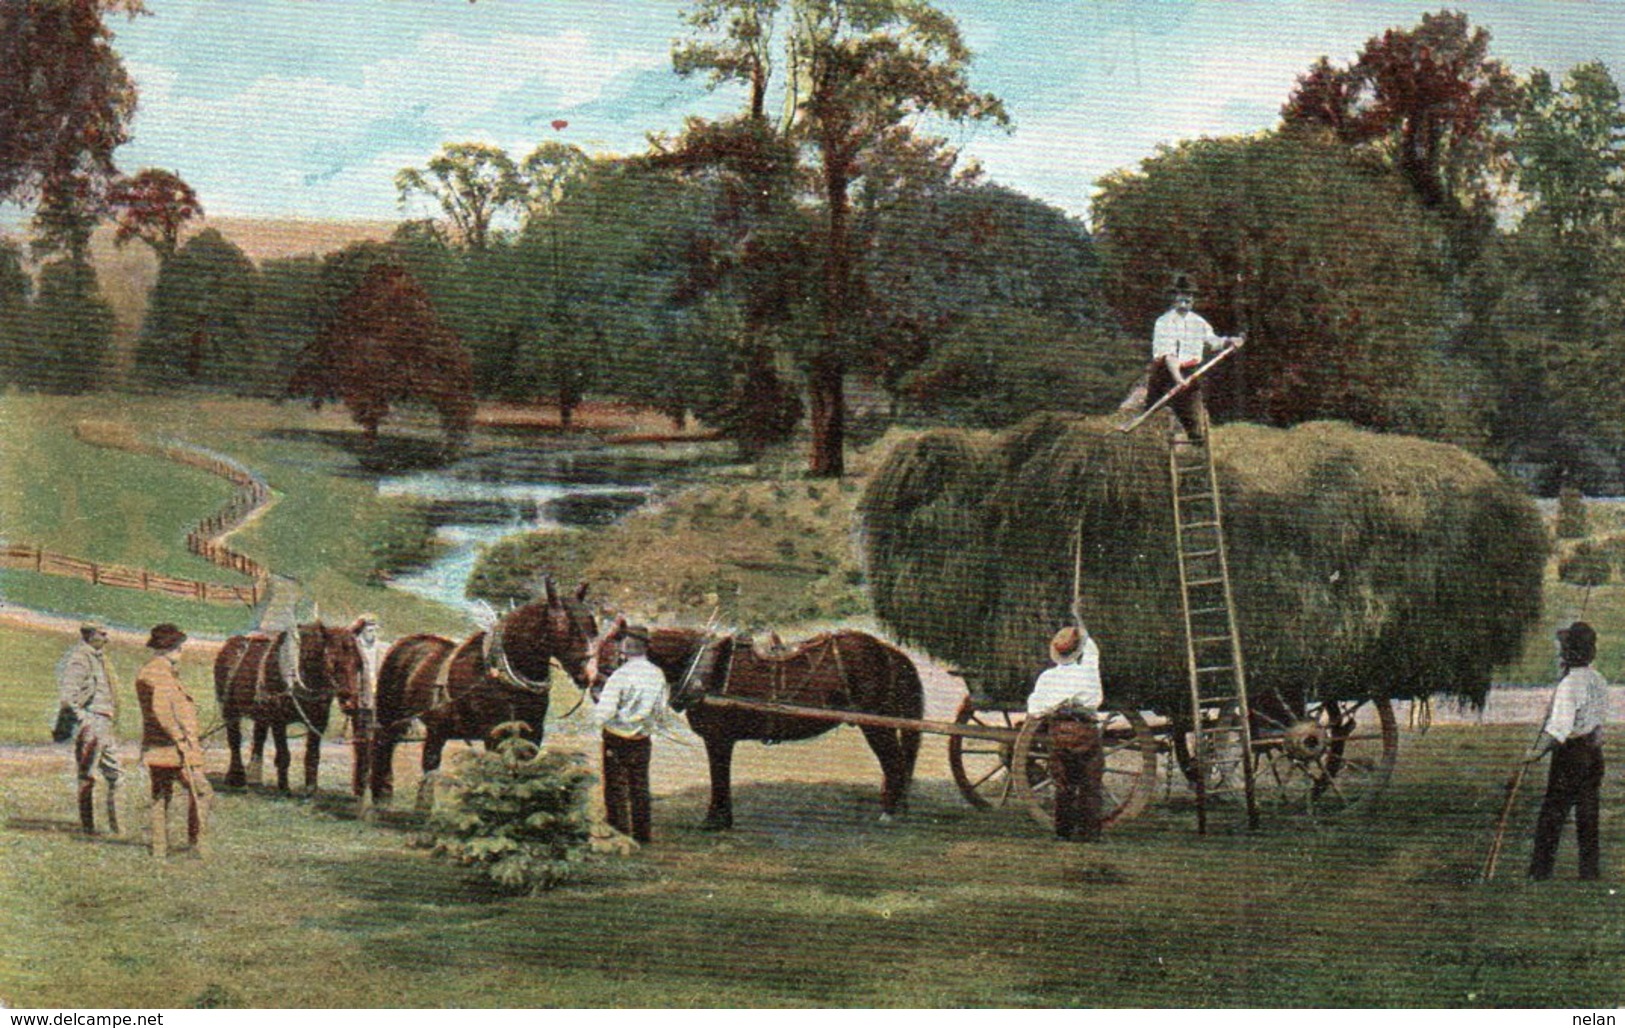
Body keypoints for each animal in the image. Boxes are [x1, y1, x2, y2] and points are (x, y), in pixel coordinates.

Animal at [212, 617, 365, 792]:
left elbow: (312, 755)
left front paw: (311, 787)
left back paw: (255, 778)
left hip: (261, 714)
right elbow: (283, 754)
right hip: (229, 709)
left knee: (259, 738)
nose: (351, 702)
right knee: (235, 739)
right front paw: (284, 788)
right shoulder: (278, 720)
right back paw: (236, 777)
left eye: (359, 663)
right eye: (333, 662)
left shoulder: (318, 721)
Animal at [367, 578, 598, 802]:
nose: (590, 674)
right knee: (386, 755)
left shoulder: (531, 737)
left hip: (436, 732)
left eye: (592, 626)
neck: (504, 679)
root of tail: (406, 643)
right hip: (391, 721)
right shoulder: (494, 736)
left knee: (428, 768)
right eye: (564, 626)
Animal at [594, 617, 929, 824]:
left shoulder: (718, 738)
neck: (706, 668)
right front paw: (722, 818)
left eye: (610, 653)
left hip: (876, 724)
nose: (597, 693)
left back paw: (890, 812)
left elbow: (719, 775)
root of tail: (888, 652)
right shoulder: (721, 739)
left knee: (894, 763)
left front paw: (715, 819)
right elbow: (721, 776)